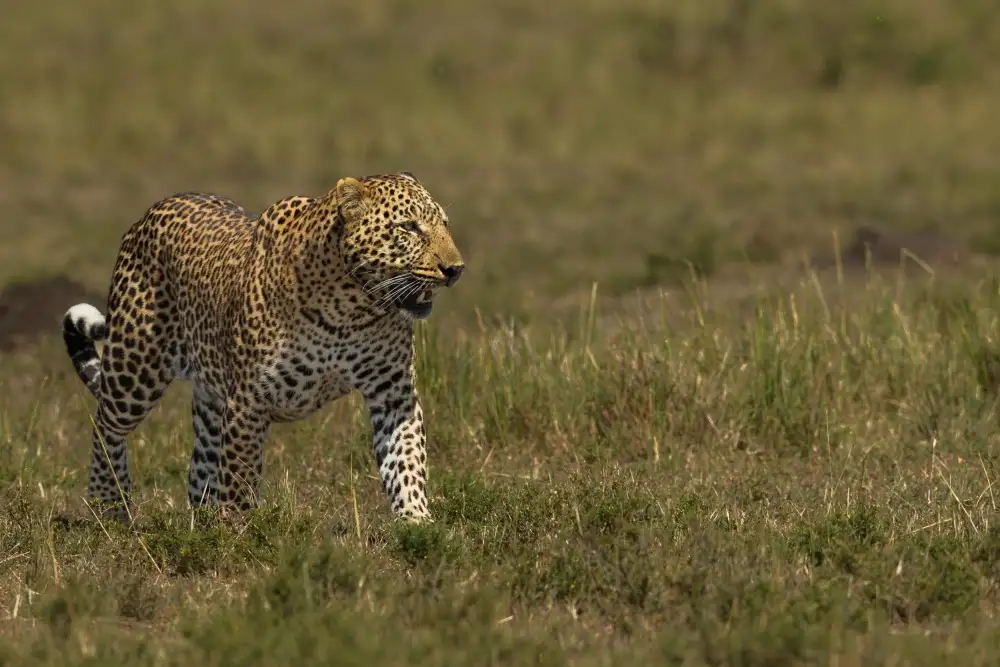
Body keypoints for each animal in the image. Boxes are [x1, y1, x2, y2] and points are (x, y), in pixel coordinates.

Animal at [61, 171, 465, 525]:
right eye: (409, 227)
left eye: (445, 224)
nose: (455, 269)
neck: (351, 308)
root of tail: (147, 214)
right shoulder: (249, 401)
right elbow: (240, 476)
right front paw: (239, 536)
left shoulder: (393, 393)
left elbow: (406, 459)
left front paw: (416, 522)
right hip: (136, 367)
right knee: (105, 426)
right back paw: (110, 507)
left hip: (210, 395)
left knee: (200, 466)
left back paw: (201, 523)